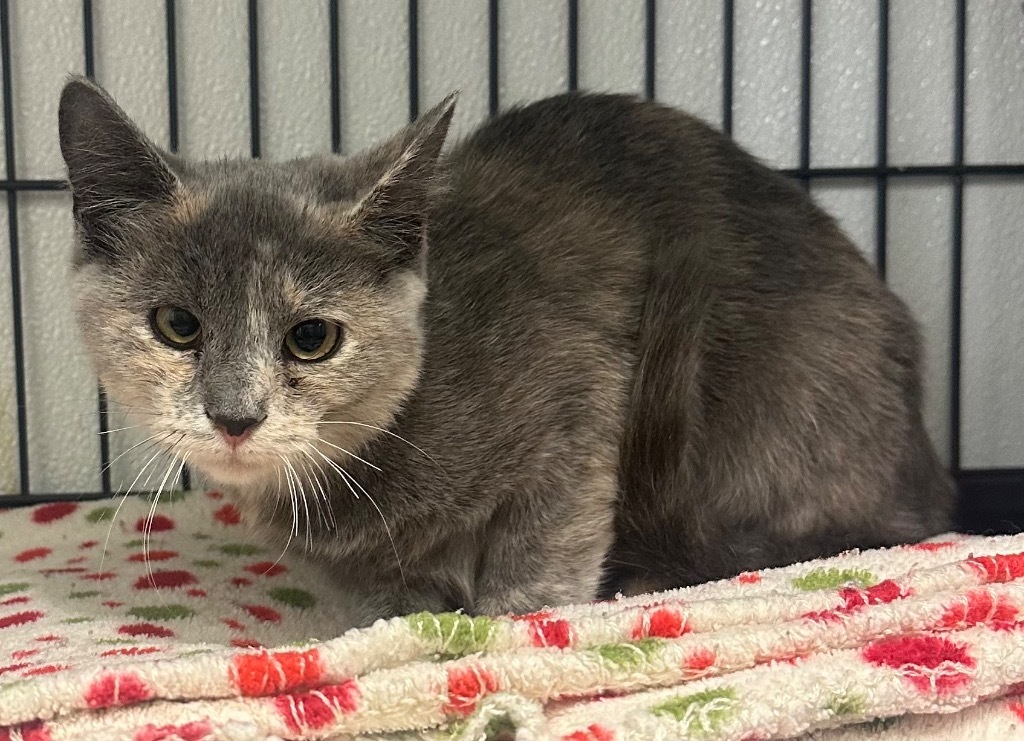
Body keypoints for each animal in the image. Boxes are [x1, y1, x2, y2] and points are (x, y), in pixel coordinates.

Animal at [58, 76, 950, 626]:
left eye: (312, 337)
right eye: (177, 325)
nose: (235, 416)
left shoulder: (580, 393)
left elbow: (544, 541)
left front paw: (514, 623)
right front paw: (403, 622)